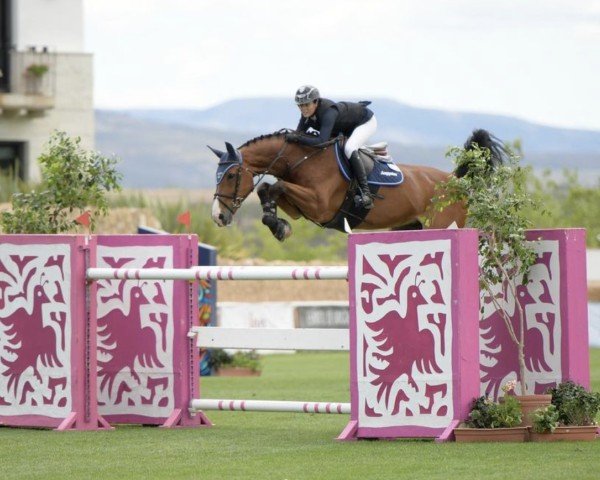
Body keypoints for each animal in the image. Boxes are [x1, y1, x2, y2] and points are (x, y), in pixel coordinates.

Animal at [209, 128, 504, 242]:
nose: (217, 216)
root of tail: (456, 181)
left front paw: (279, 227)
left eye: (231, 176)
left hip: (444, 225)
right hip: (408, 226)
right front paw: (277, 225)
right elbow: (267, 188)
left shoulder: (320, 205)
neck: (302, 158)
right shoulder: (300, 208)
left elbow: (278, 186)